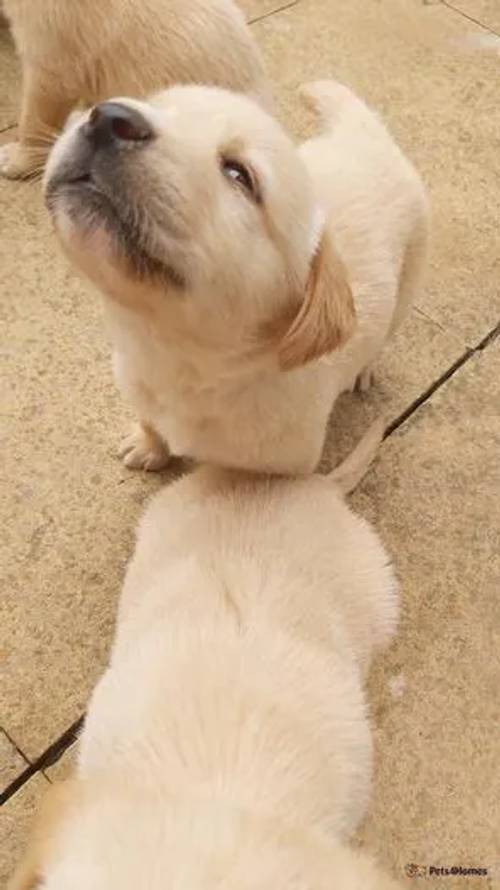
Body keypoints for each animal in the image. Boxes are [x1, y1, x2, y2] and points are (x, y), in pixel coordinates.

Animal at [45, 80, 430, 476]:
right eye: (158, 105)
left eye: (238, 175)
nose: (108, 117)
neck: (176, 362)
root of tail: (367, 135)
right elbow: (150, 421)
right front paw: (148, 444)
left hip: (405, 290)